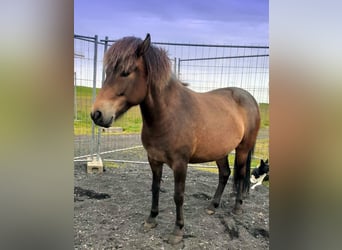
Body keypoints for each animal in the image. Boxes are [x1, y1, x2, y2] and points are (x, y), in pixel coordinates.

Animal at [89, 33, 260, 244]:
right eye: (107, 72)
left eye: (126, 72)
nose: (97, 114)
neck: (168, 116)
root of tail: (249, 98)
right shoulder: (154, 159)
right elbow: (155, 188)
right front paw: (151, 219)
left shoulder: (180, 164)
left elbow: (178, 195)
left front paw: (177, 231)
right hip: (220, 151)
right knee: (224, 174)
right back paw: (213, 205)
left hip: (243, 149)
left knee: (241, 175)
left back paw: (237, 207)